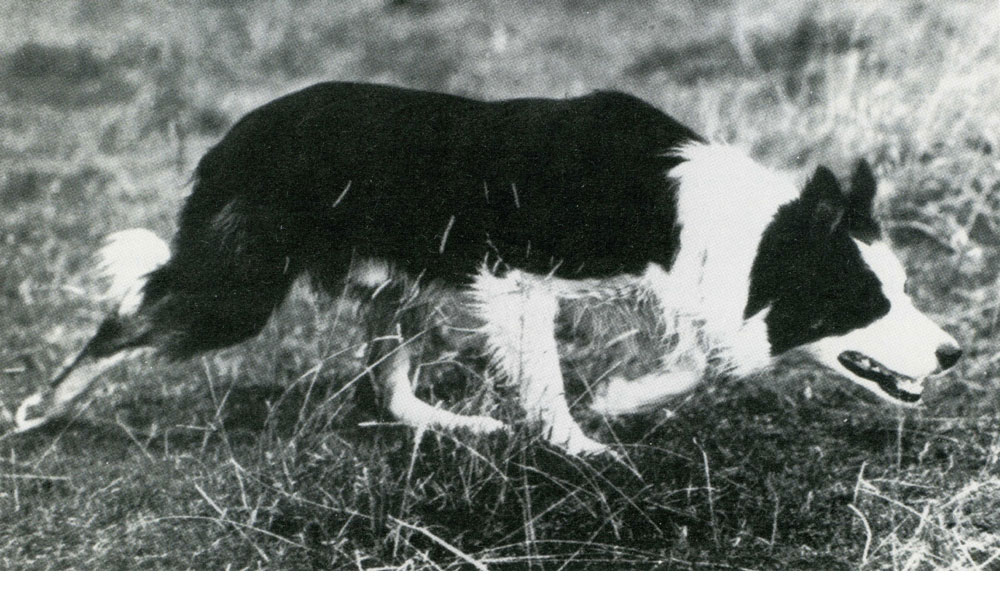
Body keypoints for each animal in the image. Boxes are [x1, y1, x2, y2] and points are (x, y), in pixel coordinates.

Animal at [7, 81, 960, 454]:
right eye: (868, 301)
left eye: (904, 290)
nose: (954, 355)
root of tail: (235, 134)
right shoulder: (514, 278)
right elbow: (547, 379)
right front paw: (580, 446)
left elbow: (694, 362)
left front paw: (624, 398)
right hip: (239, 289)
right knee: (124, 321)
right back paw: (39, 407)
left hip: (397, 286)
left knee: (387, 390)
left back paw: (454, 424)